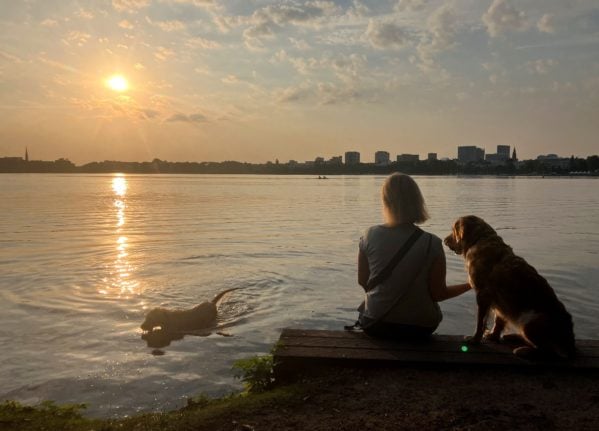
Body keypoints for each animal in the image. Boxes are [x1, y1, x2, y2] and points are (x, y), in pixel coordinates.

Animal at [446, 216, 576, 362]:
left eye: (453, 230)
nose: (444, 240)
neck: (480, 239)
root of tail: (571, 345)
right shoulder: (498, 301)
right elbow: (498, 320)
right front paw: (493, 336)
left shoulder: (482, 294)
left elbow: (480, 322)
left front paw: (474, 339)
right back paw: (513, 336)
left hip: (529, 321)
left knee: (549, 352)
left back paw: (523, 350)